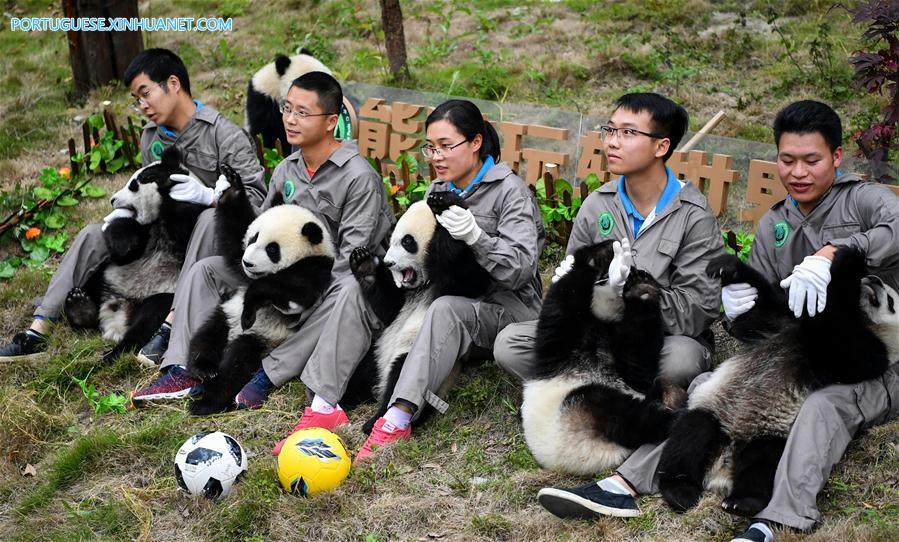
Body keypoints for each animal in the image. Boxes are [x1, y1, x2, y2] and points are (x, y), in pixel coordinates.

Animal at [63, 146, 207, 363]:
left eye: (133, 185)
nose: (112, 199)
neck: (156, 219)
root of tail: (118, 312)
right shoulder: (139, 235)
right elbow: (125, 249)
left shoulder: (188, 219)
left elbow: (183, 221)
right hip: (108, 276)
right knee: (93, 285)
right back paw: (80, 306)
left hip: (162, 293)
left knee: (147, 321)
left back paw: (115, 352)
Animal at [185, 166, 335, 415]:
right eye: (253, 238)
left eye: (272, 249)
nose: (248, 263)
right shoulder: (241, 259)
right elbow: (235, 239)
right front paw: (232, 186)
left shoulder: (315, 270)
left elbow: (294, 291)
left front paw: (251, 305)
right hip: (226, 314)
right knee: (207, 335)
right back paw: (203, 368)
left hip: (264, 338)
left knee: (237, 364)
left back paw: (207, 402)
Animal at [349, 191, 493, 434]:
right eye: (391, 240)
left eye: (407, 242)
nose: (388, 262)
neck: (423, 284)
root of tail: (379, 384)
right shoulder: (402, 295)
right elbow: (389, 307)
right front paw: (364, 263)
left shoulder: (457, 283)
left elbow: (470, 278)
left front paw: (445, 204)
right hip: (375, 353)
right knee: (359, 374)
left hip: (418, 358)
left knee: (400, 378)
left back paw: (374, 421)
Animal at [520, 240, 678, 475]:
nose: (637, 271)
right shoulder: (559, 348)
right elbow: (563, 298)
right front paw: (598, 256)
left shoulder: (624, 359)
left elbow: (638, 351)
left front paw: (643, 289)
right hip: (575, 415)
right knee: (623, 415)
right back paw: (673, 416)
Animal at [657, 247, 899, 517]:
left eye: (891, 302)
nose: (874, 280)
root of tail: (722, 468)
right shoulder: (781, 324)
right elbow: (759, 311)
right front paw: (725, 267)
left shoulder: (867, 353)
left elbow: (840, 343)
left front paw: (846, 262)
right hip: (714, 412)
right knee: (690, 435)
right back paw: (681, 491)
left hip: (770, 431)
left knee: (762, 462)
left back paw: (742, 501)